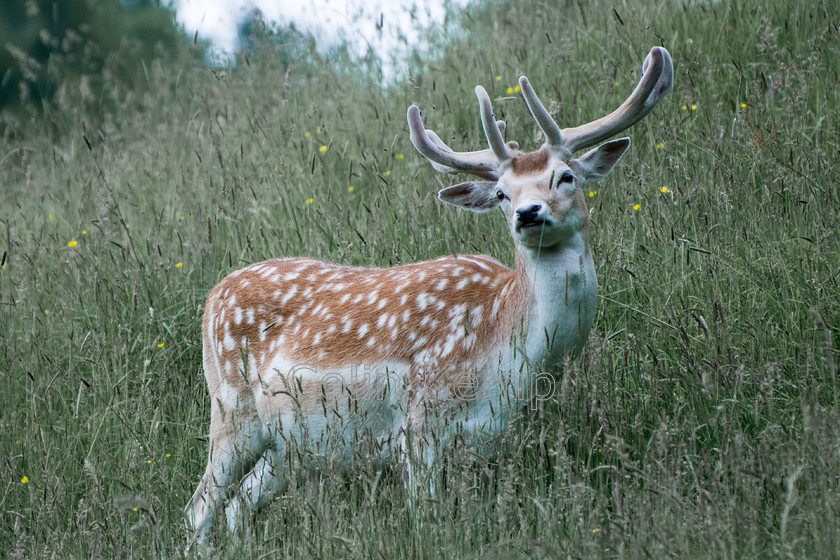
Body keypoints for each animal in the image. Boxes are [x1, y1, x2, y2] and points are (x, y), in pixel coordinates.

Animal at [187, 46, 672, 544]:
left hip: (289, 448)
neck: (511, 353)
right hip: (231, 409)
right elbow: (427, 517)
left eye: (566, 177)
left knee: (238, 505)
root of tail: (213, 295)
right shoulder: (418, 425)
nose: (528, 212)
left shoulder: (495, 441)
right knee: (199, 506)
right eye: (502, 193)